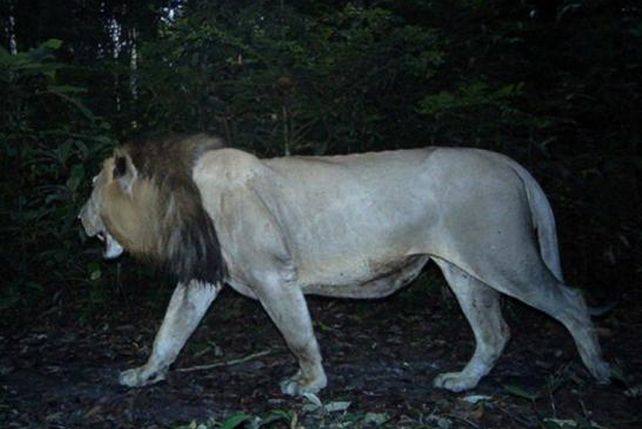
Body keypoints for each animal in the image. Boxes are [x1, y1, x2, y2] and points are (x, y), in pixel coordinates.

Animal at [79, 134, 610, 395]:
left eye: (92, 185)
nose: (78, 217)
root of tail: (509, 162)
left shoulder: (274, 275)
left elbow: (298, 335)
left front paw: (308, 385)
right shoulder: (201, 280)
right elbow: (171, 330)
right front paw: (145, 374)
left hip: (504, 256)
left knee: (572, 301)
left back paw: (602, 372)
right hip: (464, 269)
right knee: (494, 330)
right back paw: (462, 382)